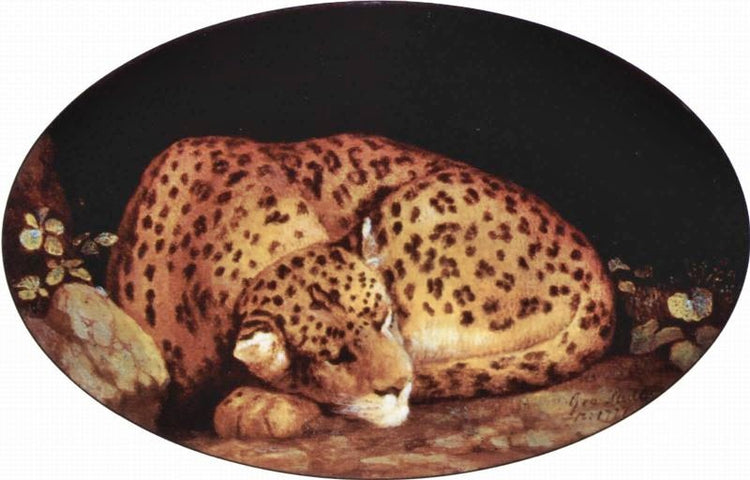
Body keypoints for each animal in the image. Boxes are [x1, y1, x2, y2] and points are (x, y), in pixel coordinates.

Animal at [106, 133, 614, 431]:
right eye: (334, 356)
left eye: (385, 318)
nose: (399, 385)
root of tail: (594, 267)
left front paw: (259, 404)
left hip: (406, 211)